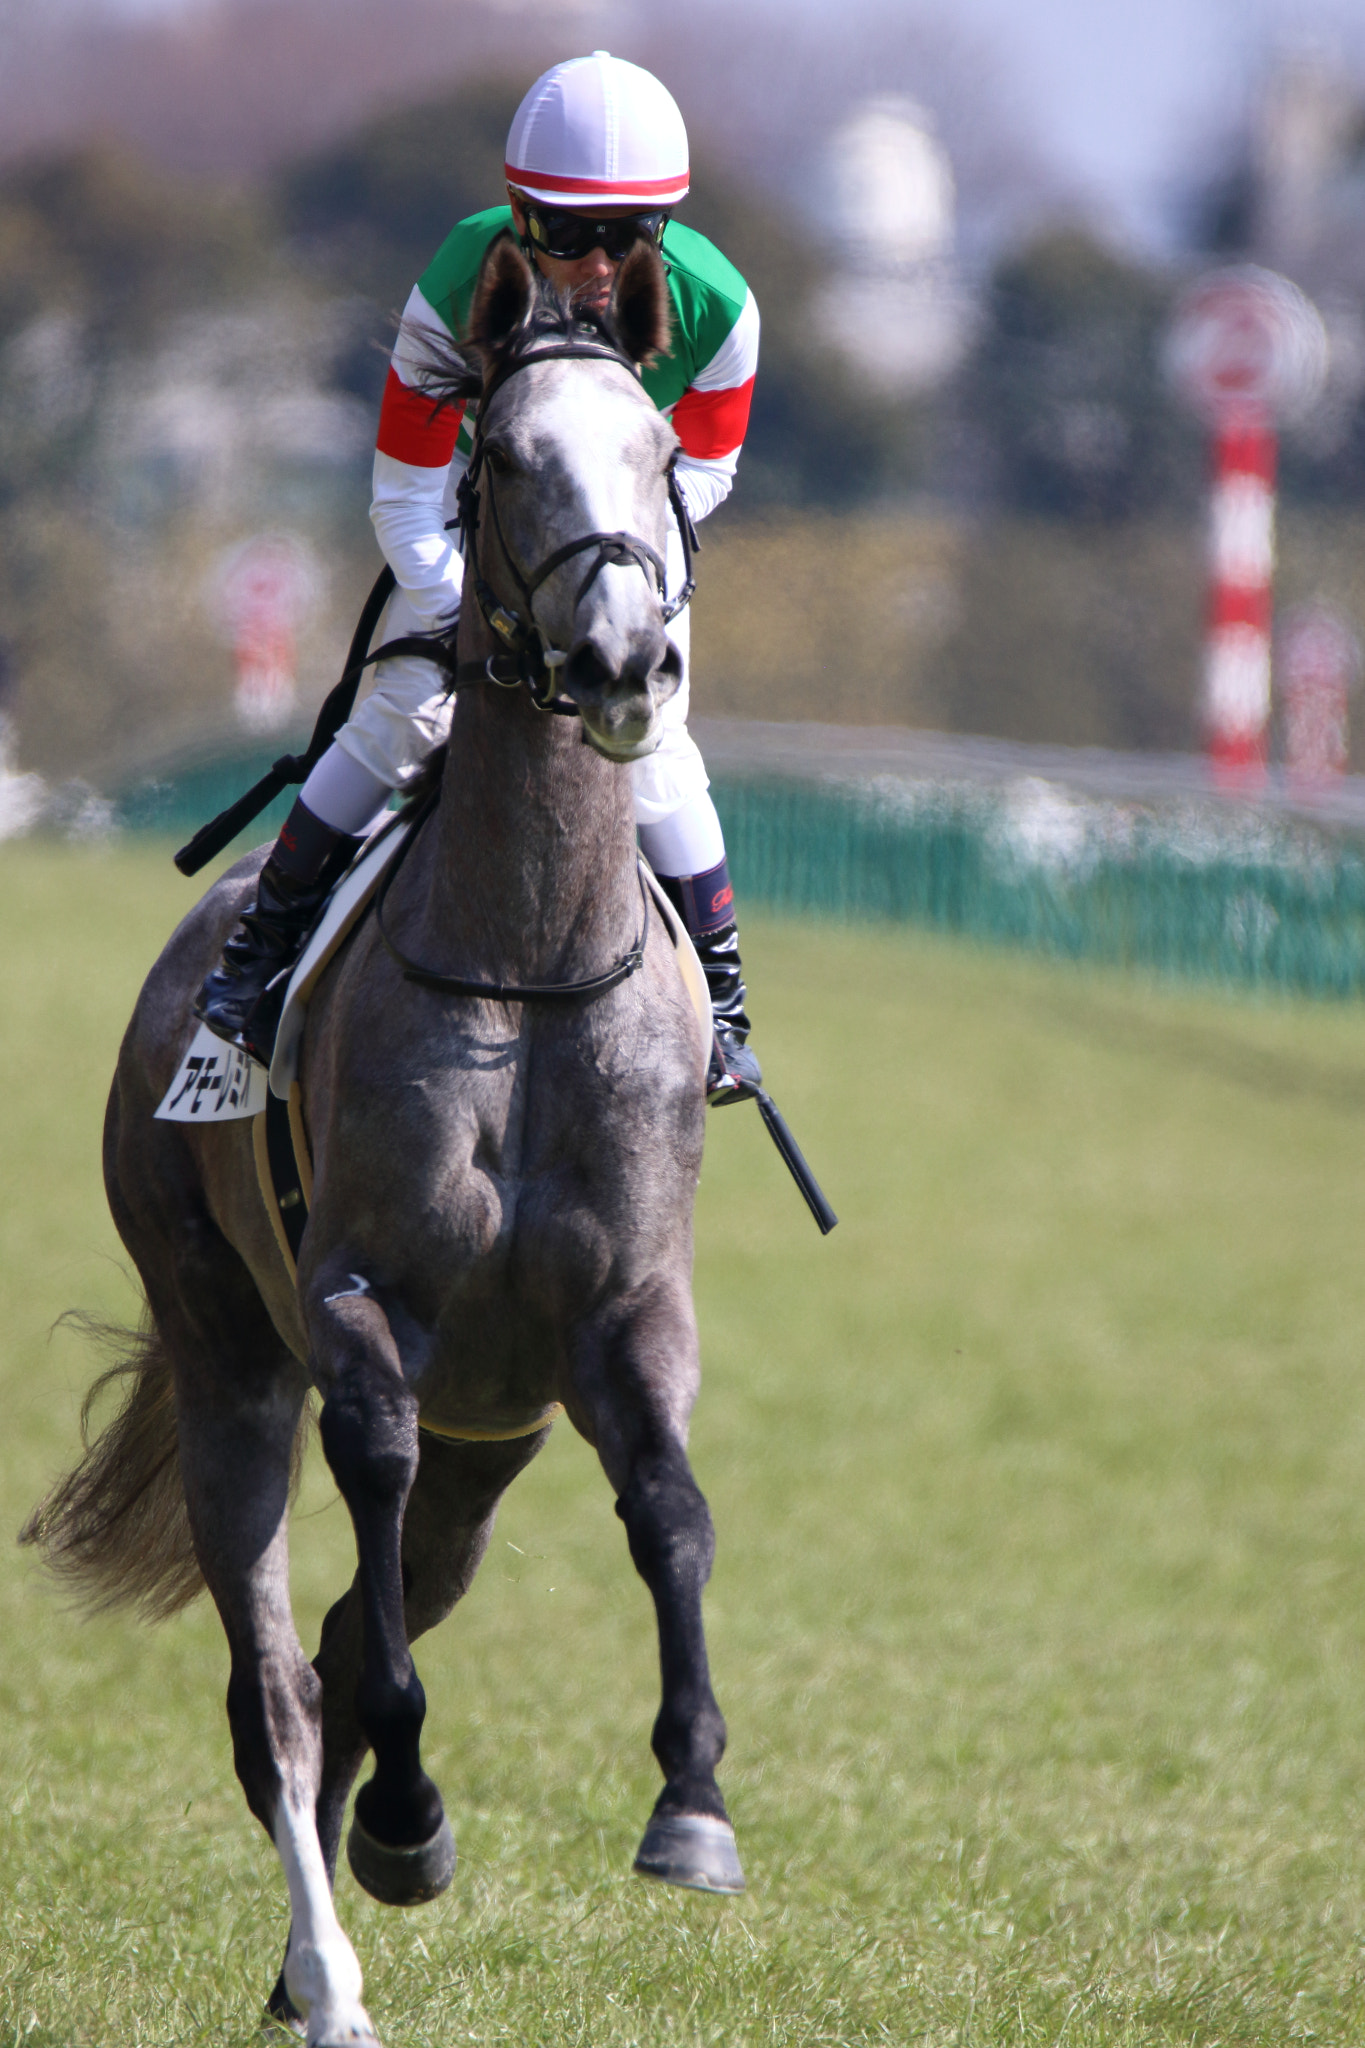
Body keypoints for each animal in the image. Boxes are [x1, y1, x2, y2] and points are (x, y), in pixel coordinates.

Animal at [23, 234, 744, 2048]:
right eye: (507, 456)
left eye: (657, 450)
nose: (622, 660)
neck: (528, 969)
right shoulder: (359, 1310)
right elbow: (366, 1546)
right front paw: (410, 1827)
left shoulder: (625, 1317)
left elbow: (673, 1512)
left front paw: (694, 1804)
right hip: (226, 1355)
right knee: (278, 1678)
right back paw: (330, 1968)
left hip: (501, 1440)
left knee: (359, 1626)